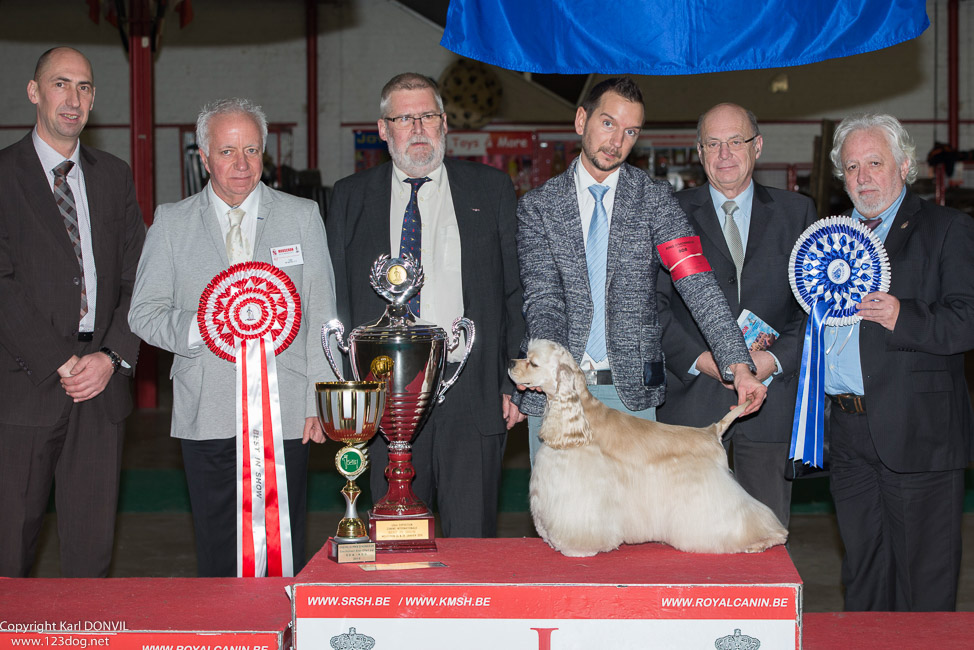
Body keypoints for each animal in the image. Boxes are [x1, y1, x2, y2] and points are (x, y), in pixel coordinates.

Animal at [516, 336, 788, 556]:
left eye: (533, 363)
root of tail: (712, 431)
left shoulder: (580, 489)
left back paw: (765, 539)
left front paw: (576, 549)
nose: (510, 364)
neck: (580, 419)